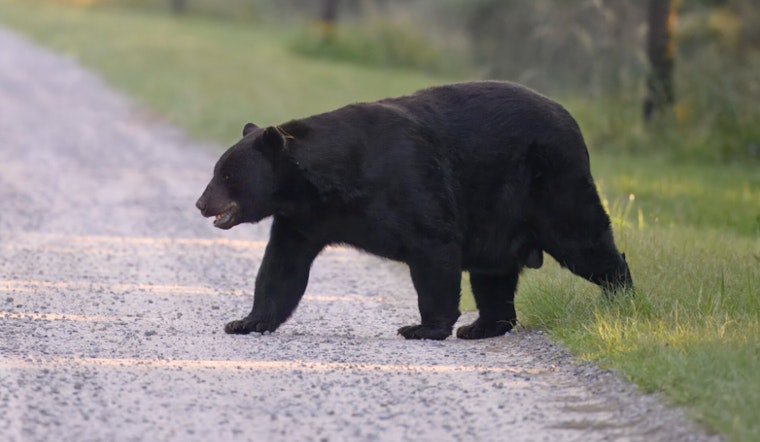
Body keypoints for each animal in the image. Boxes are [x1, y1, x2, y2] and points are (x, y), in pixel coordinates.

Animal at [195, 81, 633, 341]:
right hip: (500, 219)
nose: (201, 203)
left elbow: (434, 245)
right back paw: (482, 326)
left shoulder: (410, 183)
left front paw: (422, 327)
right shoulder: (303, 221)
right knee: (493, 274)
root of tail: (572, 121)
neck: (325, 183)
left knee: (584, 240)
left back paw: (621, 295)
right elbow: (281, 268)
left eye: (227, 174)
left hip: (552, 184)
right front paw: (245, 321)